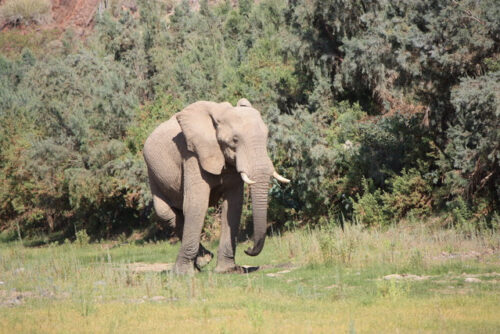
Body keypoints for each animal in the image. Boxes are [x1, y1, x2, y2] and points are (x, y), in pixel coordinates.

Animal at [142, 98, 290, 274]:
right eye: (234, 140)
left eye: (267, 137)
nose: (248, 249)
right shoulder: (192, 153)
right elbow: (196, 203)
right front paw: (182, 274)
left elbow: (233, 205)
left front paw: (227, 270)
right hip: (153, 172)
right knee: (164, 212)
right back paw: (202, 261)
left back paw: (202, 260)